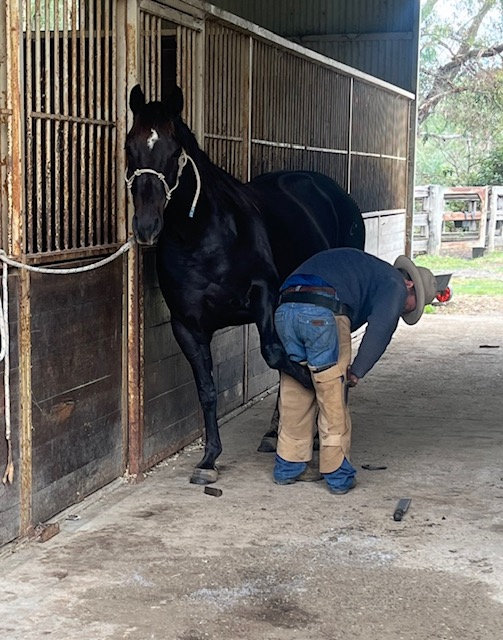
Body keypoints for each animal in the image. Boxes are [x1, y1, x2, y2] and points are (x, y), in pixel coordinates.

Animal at [125, 84, 365, 485]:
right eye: (130, 147)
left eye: (174, 152)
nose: (146, 227)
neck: (203, 236)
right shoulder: (187, 326)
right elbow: (207, 390)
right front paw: (208, 459)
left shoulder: (263, 296)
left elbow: (279, 357)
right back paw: (273, 432)